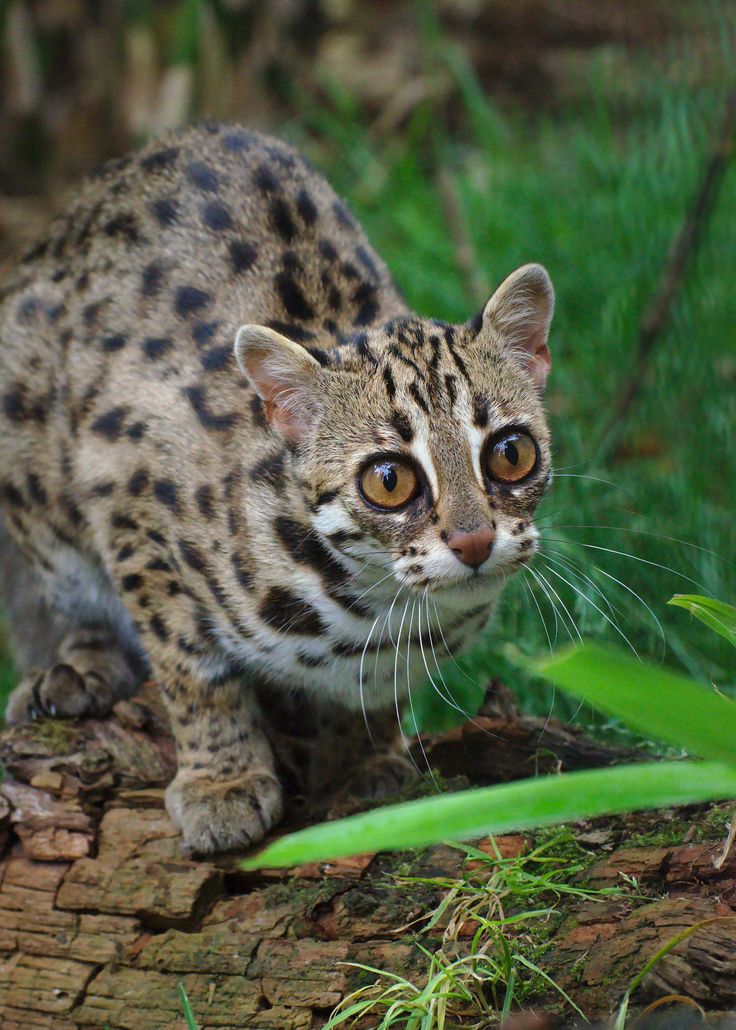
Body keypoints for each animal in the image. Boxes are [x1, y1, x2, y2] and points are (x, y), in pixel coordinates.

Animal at [0, 124, 551, 852]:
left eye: (511, 454)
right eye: (389, 480)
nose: (475, 541)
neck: (374, 605)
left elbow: (376, 698)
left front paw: (362, 758)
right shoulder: (124, 488)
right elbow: (191, 665)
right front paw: (222, 780)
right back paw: (78, 664)